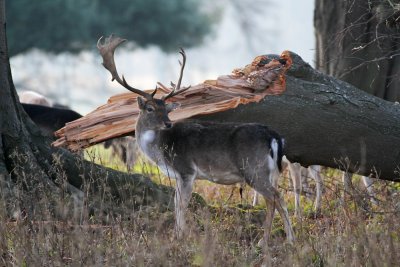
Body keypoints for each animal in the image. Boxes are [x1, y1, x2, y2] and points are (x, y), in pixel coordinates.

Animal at [98, 35, 296, 245]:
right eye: (150, 108)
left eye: (166, 109)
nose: (168, 123)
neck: (161, 152)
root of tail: (273, 136)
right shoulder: (179, 175)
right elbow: (176, 202)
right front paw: (178, 234)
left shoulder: (186, 169)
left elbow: (182, 203)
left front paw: (180, 236)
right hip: (271, 171)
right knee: (273, 199)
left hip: (253, 168)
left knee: (276, 197)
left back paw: (281, 240)